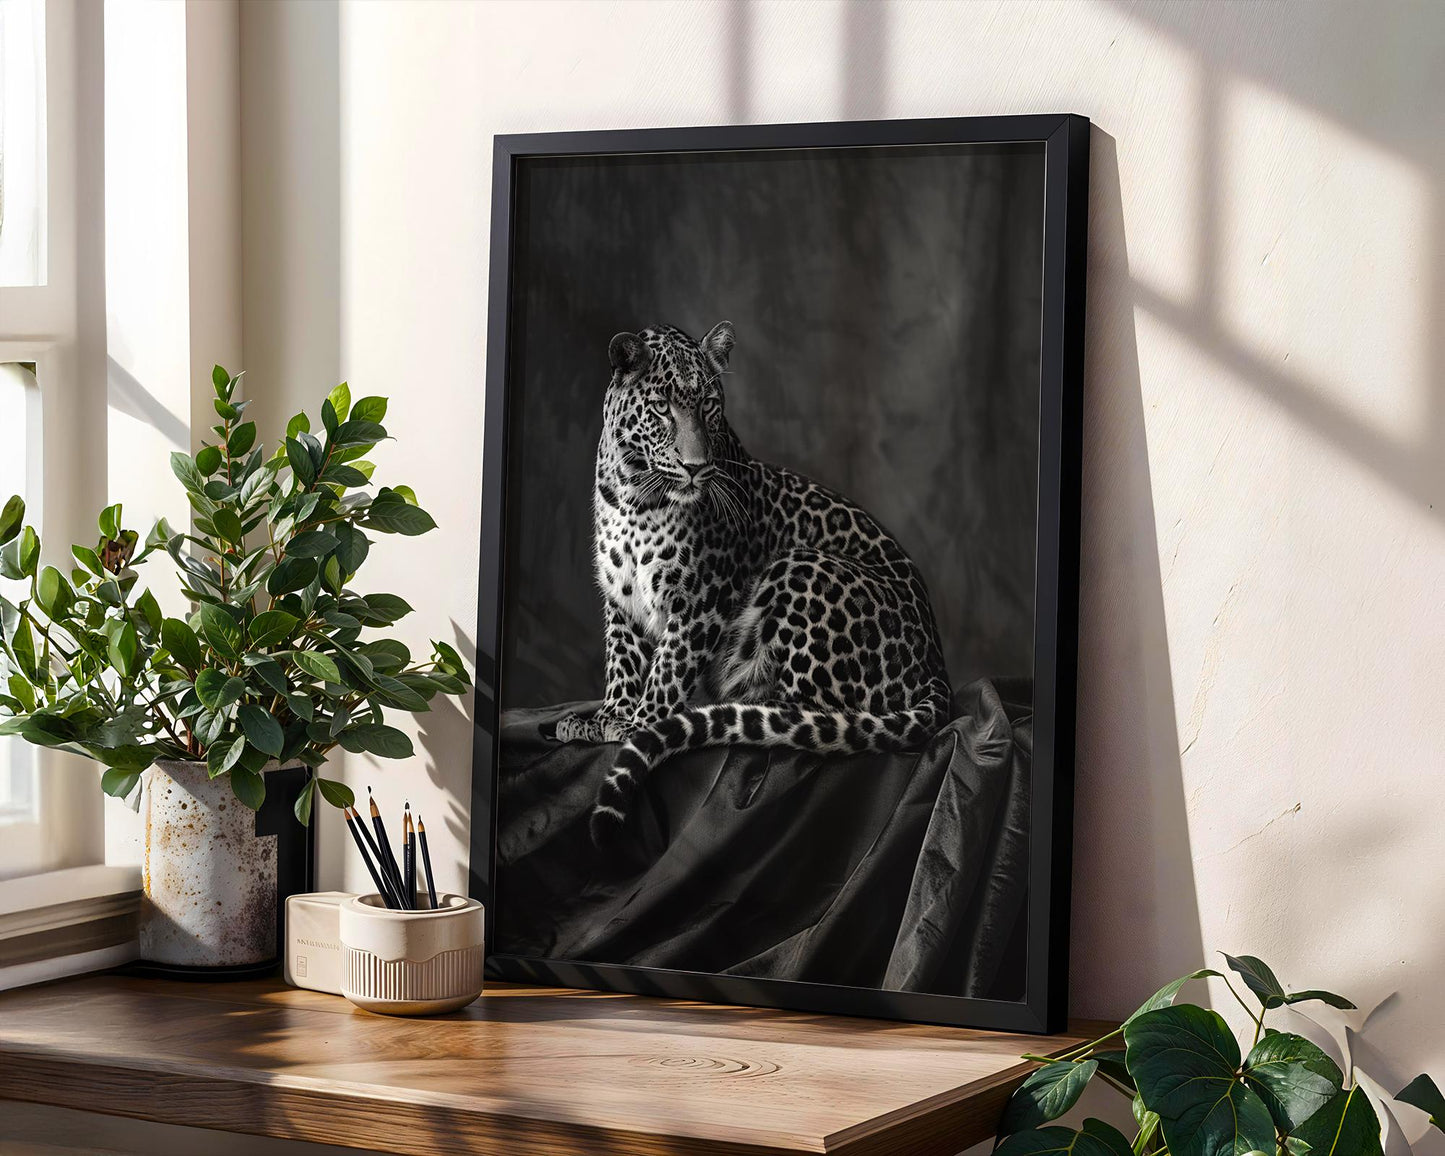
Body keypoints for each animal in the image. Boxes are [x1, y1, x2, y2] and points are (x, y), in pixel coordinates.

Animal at [553, 321, 953, 847]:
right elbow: (622, 661)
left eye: (708, 405)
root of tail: (936, 664)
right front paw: (608, 720)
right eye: (662, 407)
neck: (634, 494)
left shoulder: (699, 601)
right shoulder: (621, 598)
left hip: (800, 565)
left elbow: (665, 673)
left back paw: (750, 712)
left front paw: (641, 725)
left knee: (817, 715)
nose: (696, 467)